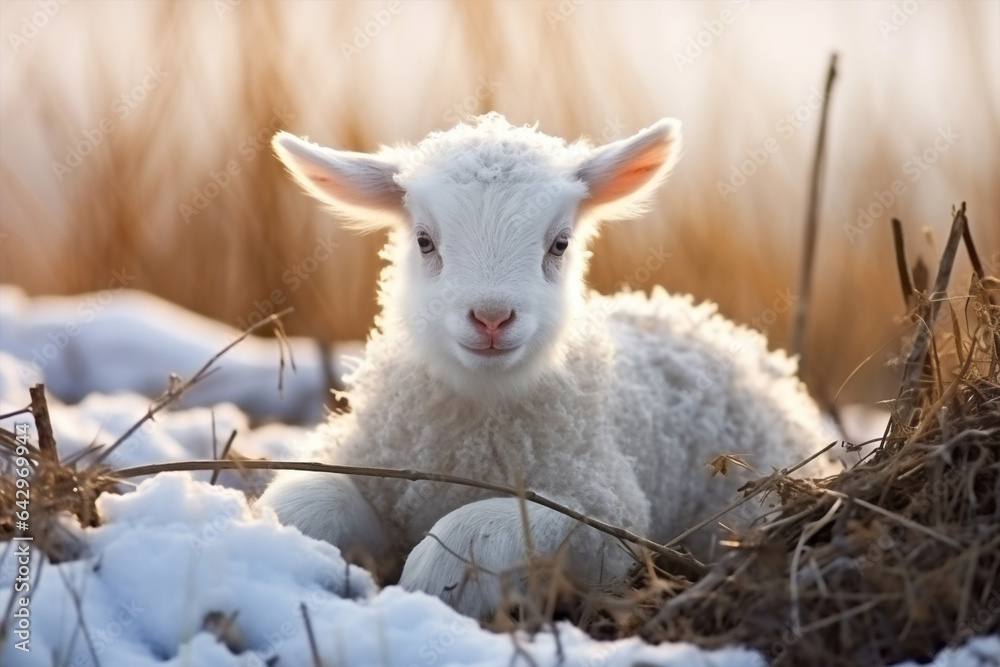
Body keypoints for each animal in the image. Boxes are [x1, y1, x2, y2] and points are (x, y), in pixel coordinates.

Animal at [257, 113, 832, 618]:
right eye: (424, 241)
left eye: (560, 243)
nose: (492, 316)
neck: (476, 431)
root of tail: (700, 317)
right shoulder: (369, 466)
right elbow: (305, 504)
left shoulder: (609, 512)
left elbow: (474, 533)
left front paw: (433, 582)